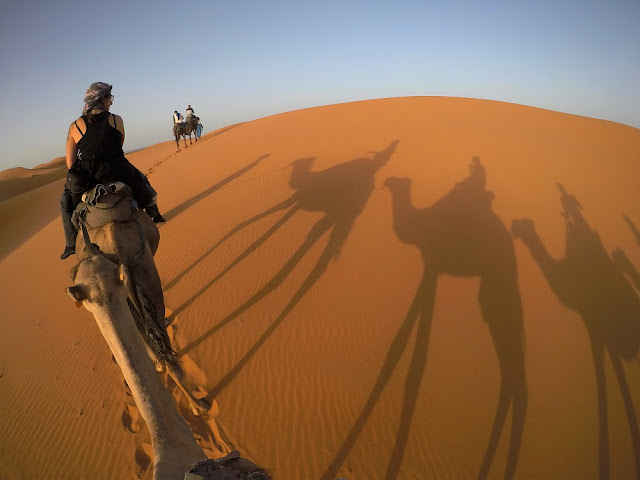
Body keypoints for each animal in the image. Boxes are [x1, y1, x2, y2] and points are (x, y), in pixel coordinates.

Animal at [73, 184, 209, 416]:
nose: (93, 248)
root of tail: (115, 244)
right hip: (147, 271)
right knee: (160, 332)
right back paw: (198, 405)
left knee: (147, 332)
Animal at [382, 157, 528, 476]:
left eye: (400, 182)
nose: (386, 182)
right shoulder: (431, 267)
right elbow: (397, 347)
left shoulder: (433, 264)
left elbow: (417, 365)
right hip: (492, 295)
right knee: (511, 374)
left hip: (497, 290)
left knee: (516, 376)